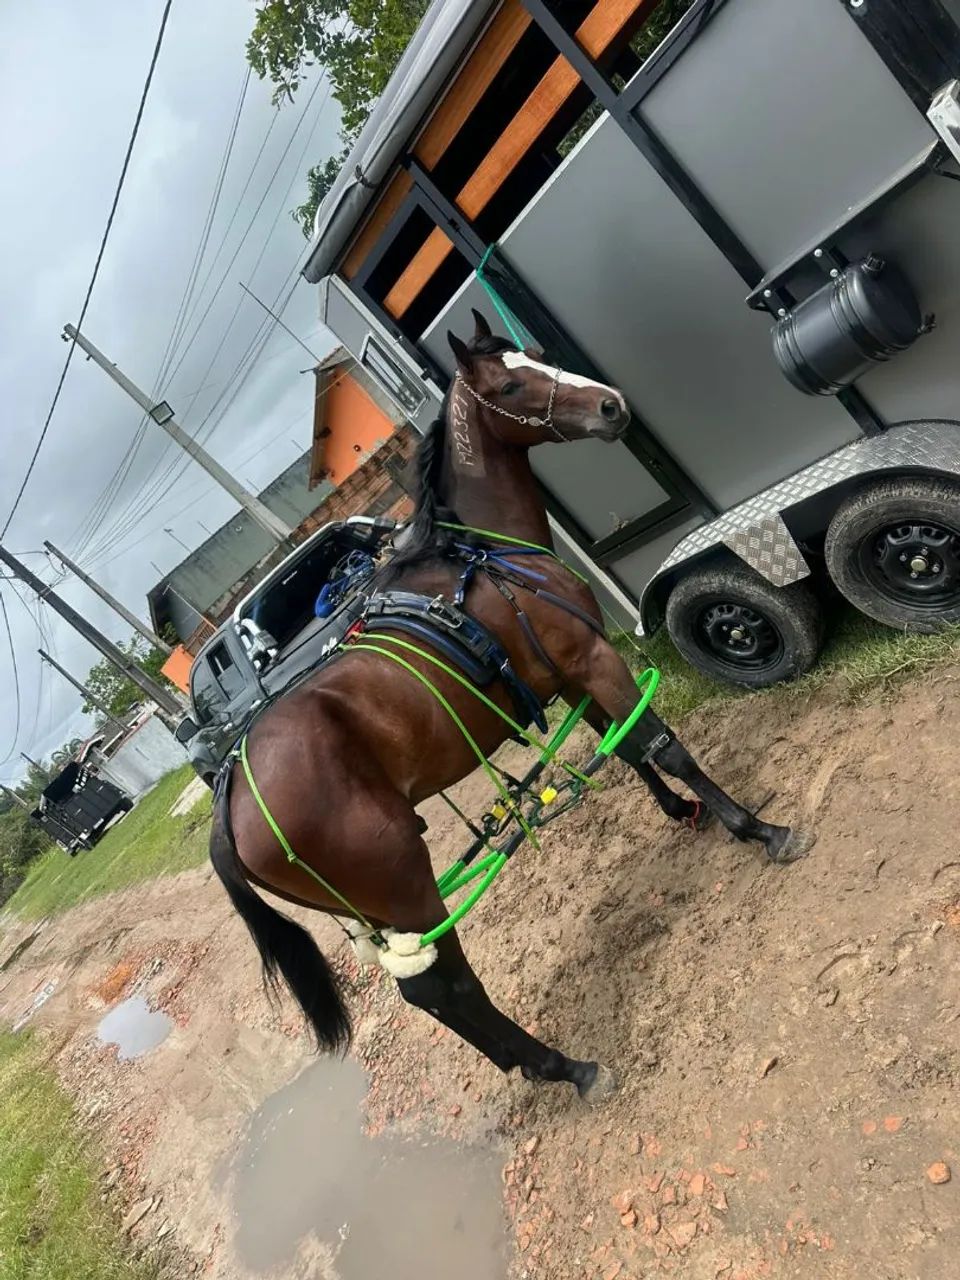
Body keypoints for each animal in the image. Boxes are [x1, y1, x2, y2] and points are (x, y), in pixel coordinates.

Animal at [209, 311, 813, 1103]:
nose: (610, 407)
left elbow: (625, 744)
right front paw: (758, 828)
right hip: (403, 883)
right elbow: (664, 744)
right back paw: (568, 1066)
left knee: (436, 995)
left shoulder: (567, 672)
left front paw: (686, 812)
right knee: (440, 987)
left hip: (373, 908)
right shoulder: (591, 655)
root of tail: (229, 798)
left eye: (532, 355)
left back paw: (526, 1061)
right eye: (509, 387)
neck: (491, 557)